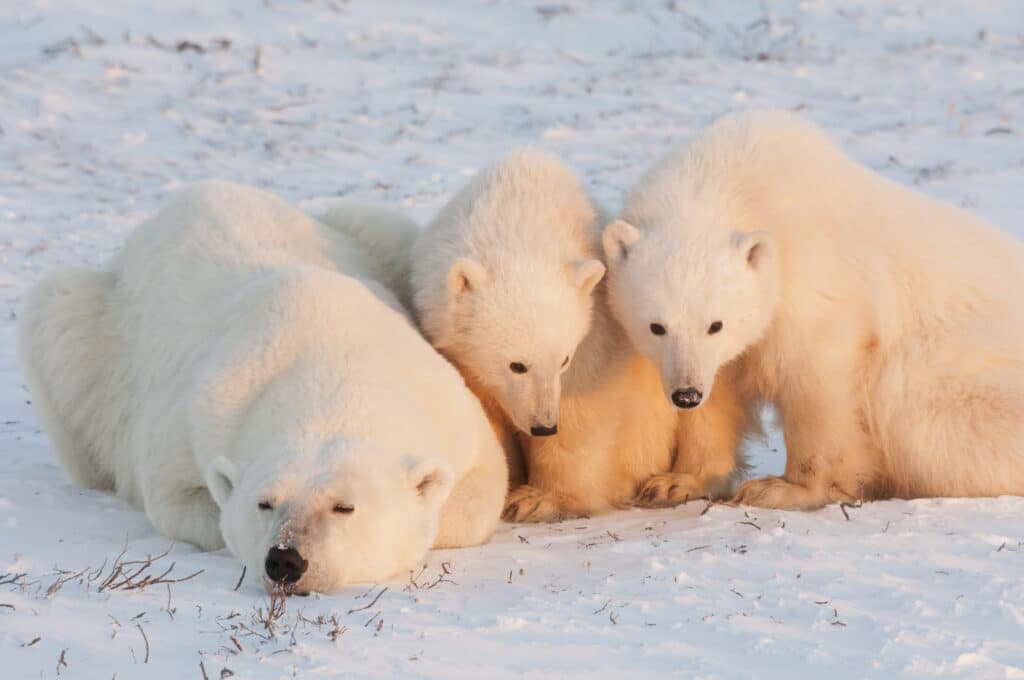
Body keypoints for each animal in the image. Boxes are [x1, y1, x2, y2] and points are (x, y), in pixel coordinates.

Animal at [413, 150, 745, 520]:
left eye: (564, 360)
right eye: (517, 365)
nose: (543, 425)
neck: (519, 217)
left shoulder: (595, 333)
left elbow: (582, 412)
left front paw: (536, 499)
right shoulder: (461, 353)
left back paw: (674, 483)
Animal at [598, 109, 1024, 507]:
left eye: (715, 324)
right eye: (656, 327)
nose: (685, 394)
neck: (728, 177)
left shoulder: (814, 281)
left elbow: (815, 383)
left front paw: (783, 489)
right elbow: (720, 393)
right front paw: (676, 482)